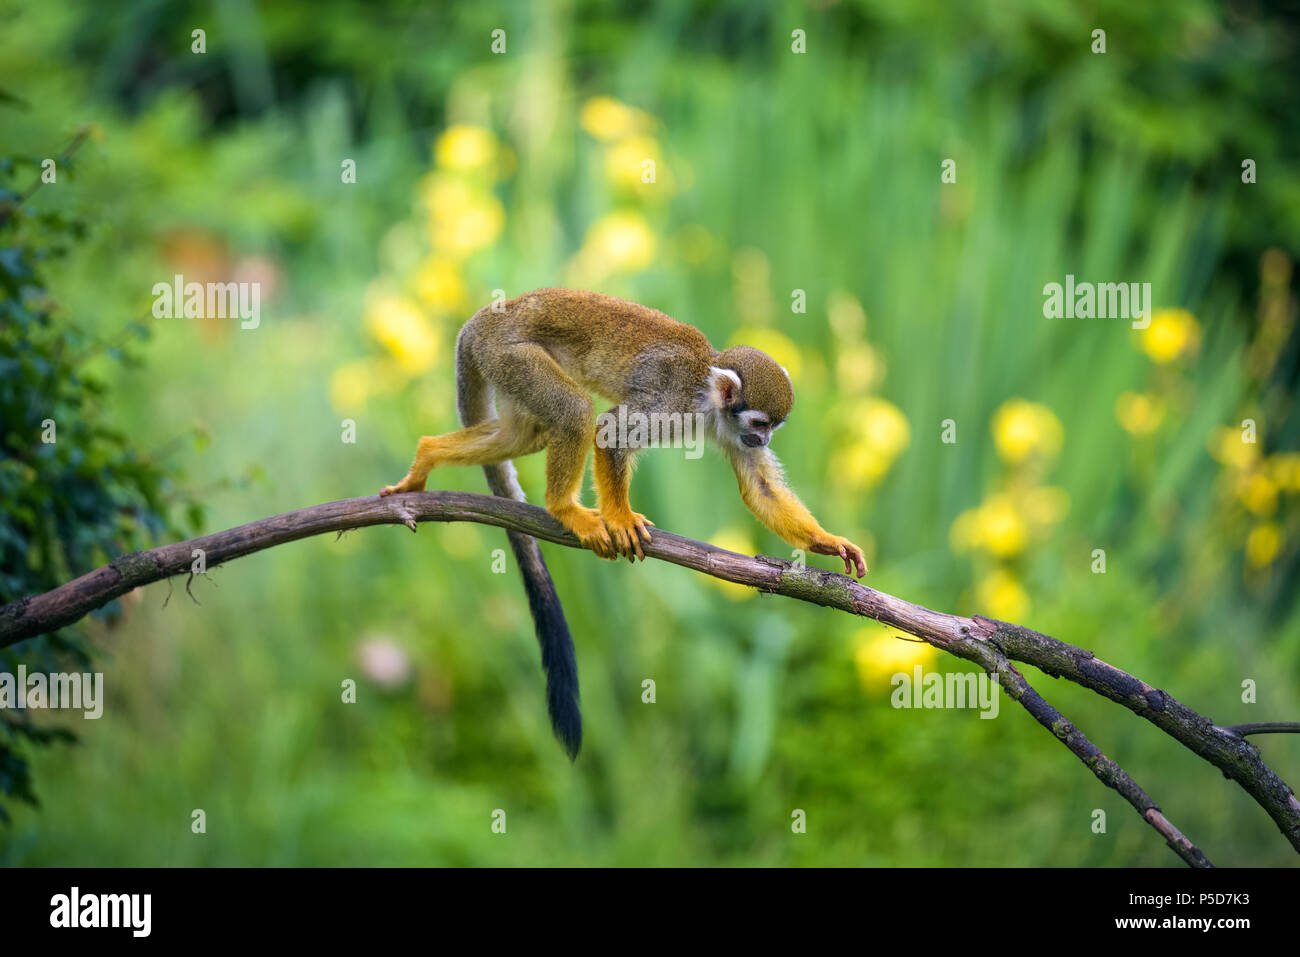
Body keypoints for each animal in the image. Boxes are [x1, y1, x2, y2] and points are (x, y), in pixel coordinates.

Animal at [379, 287, 863, 759]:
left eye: (772, 428)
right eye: (761, 422)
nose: (761, 439)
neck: (709, 399)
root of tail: (482, 318)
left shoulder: (730, 432)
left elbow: (760, 491)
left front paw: (826, 542)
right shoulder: (674, 402)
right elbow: (611, 430)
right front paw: (620, 517)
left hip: (503, 366)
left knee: (524, 434)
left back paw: (428, 455)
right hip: (510, 354)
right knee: (573, 411)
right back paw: (562, 507)